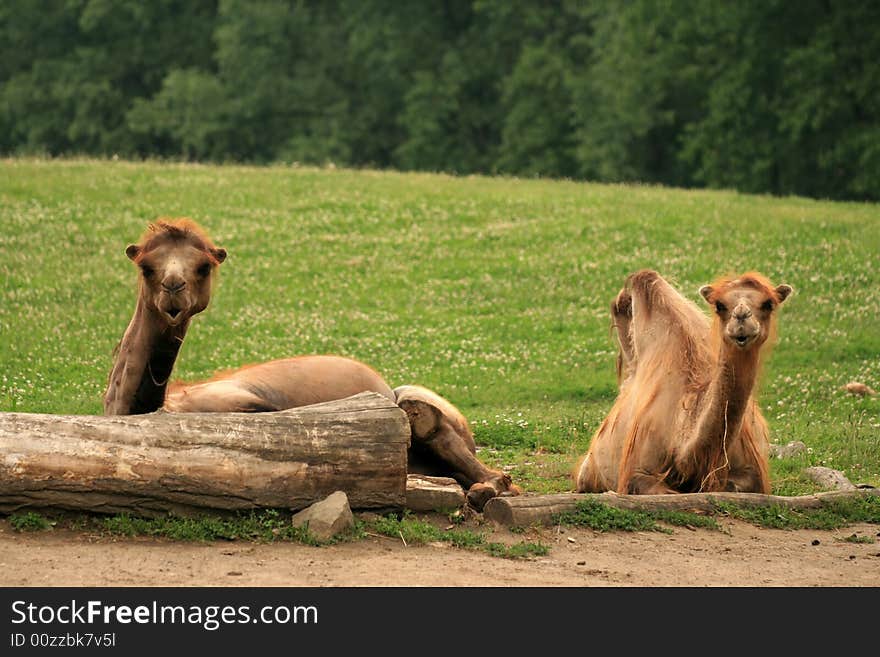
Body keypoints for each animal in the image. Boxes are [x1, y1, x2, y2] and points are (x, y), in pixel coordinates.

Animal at [104, 218, 520, 510]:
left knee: (469, 455)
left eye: (203, 267)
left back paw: (482, 489)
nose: (173, 289)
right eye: (147, 266)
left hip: (418, 405)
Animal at [576, 268, 796, 492]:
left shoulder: (752, 470)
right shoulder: (637, 470)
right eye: (719, 305)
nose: (741, 318)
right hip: (588, 472)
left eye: (768, 304)